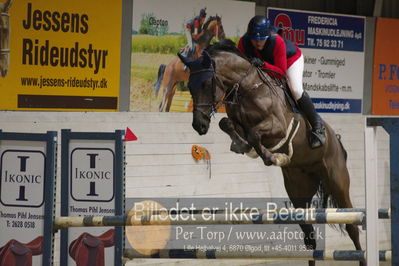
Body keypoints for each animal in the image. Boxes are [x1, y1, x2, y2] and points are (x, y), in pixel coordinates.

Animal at [180, 40, 364, 266]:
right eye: (189, 86)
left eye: (206, 84)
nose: (199, 125)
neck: (246, 88)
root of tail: (336, 140)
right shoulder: (237, 121)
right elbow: (228, 124)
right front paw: (241, 146)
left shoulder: (278, 127)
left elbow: (254, 134)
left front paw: (273, 157)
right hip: (298, 191)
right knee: (309, 234)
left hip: (337, 182)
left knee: (352, 226)